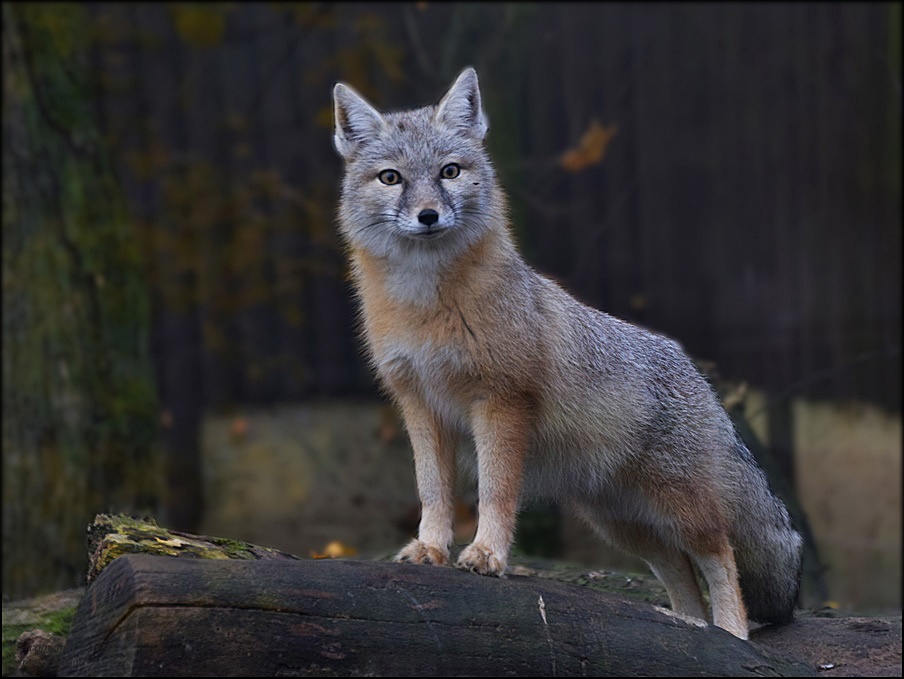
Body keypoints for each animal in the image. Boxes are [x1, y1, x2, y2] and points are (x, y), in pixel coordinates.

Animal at [330, 66, 800, 640]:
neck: (425, 309)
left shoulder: (501, 401)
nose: (428, 215)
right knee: (682, 575)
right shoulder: (419, 404)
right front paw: (431, 548)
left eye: (449, 171)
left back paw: (730, 635)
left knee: (720, 553)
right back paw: (686, 630)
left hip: (679, 509)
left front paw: (487, 554)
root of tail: (694, 372)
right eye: (391, 178)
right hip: (623, 525)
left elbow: (496, 490)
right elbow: (433, 490)